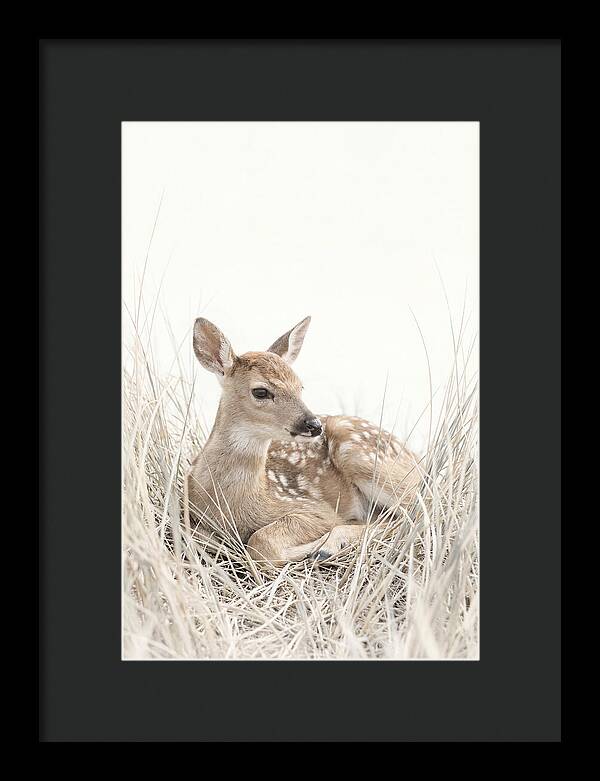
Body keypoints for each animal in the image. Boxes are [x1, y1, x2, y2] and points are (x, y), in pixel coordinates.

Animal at [184, 316, 422, 565]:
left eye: (300, 386)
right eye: (260, 391)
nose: (314, 424)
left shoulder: (314, 508)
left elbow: (261, 543)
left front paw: (312, 548)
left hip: (361, 455)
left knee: (415, 513)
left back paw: (328, 546)